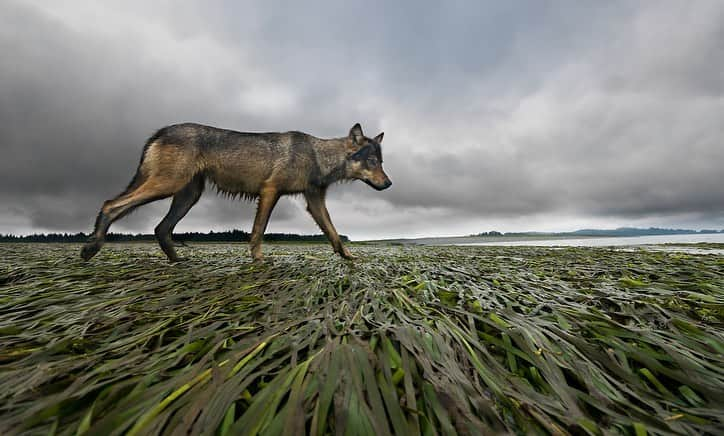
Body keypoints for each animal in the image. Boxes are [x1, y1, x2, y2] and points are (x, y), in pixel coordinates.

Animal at [79, 122, 390, 262]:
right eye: (372, 162)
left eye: (382, 162)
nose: (388, 184)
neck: (316, 156)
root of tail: (161, 131)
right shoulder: (270, 191)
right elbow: (258, 231)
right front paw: (258, 260)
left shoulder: (314, 202)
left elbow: (334, 233)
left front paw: (349, 257)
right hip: (167, 186)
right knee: (110, 204)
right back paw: (91, 247)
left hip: (187, 196)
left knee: (160, 228)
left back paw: (178, 261)